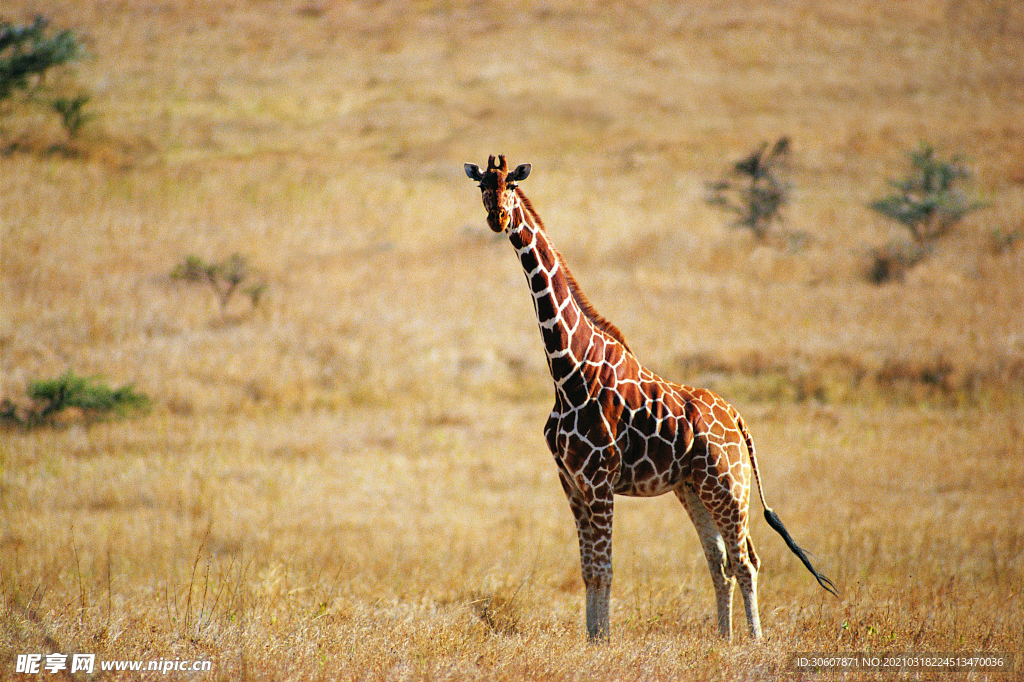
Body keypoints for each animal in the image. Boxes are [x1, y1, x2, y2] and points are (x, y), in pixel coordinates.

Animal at [468, 152, 835, 638]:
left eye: (510, 184)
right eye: (482, 186)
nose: (498, 218)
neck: (567, 371)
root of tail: (738, 418)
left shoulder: (599, 480)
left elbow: (604, 568)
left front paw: (603, 642)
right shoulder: (571, 482)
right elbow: (588, 569)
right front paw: (592, 640)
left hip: (729, 485)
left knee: (746, 560)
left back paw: (754, 641)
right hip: (693, 488)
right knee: (720, 562)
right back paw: (724, 639)